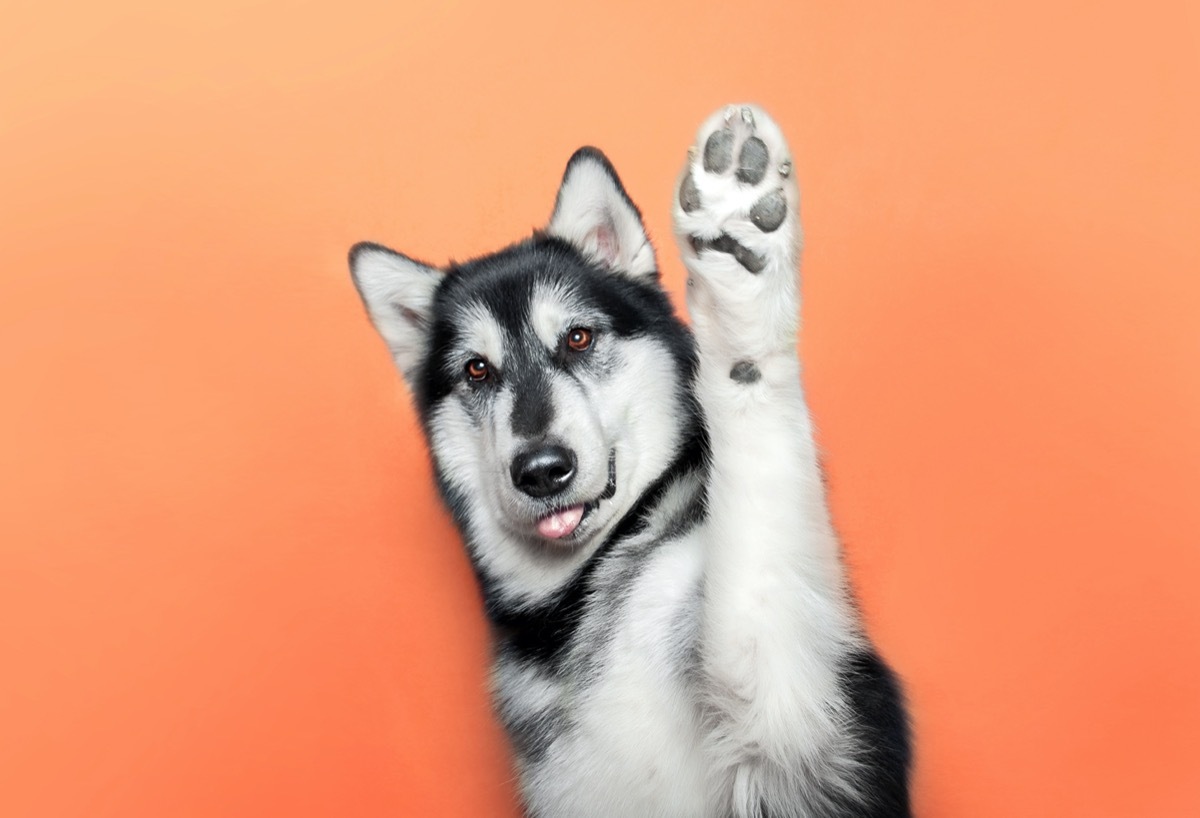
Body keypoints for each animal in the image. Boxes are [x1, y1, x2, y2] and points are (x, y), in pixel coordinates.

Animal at [350, 104, 907, 810]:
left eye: (578, 338)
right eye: (477, 370)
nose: (541, 471)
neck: (580, 597)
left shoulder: (795, 730)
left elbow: (759, 499)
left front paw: (738, 272)